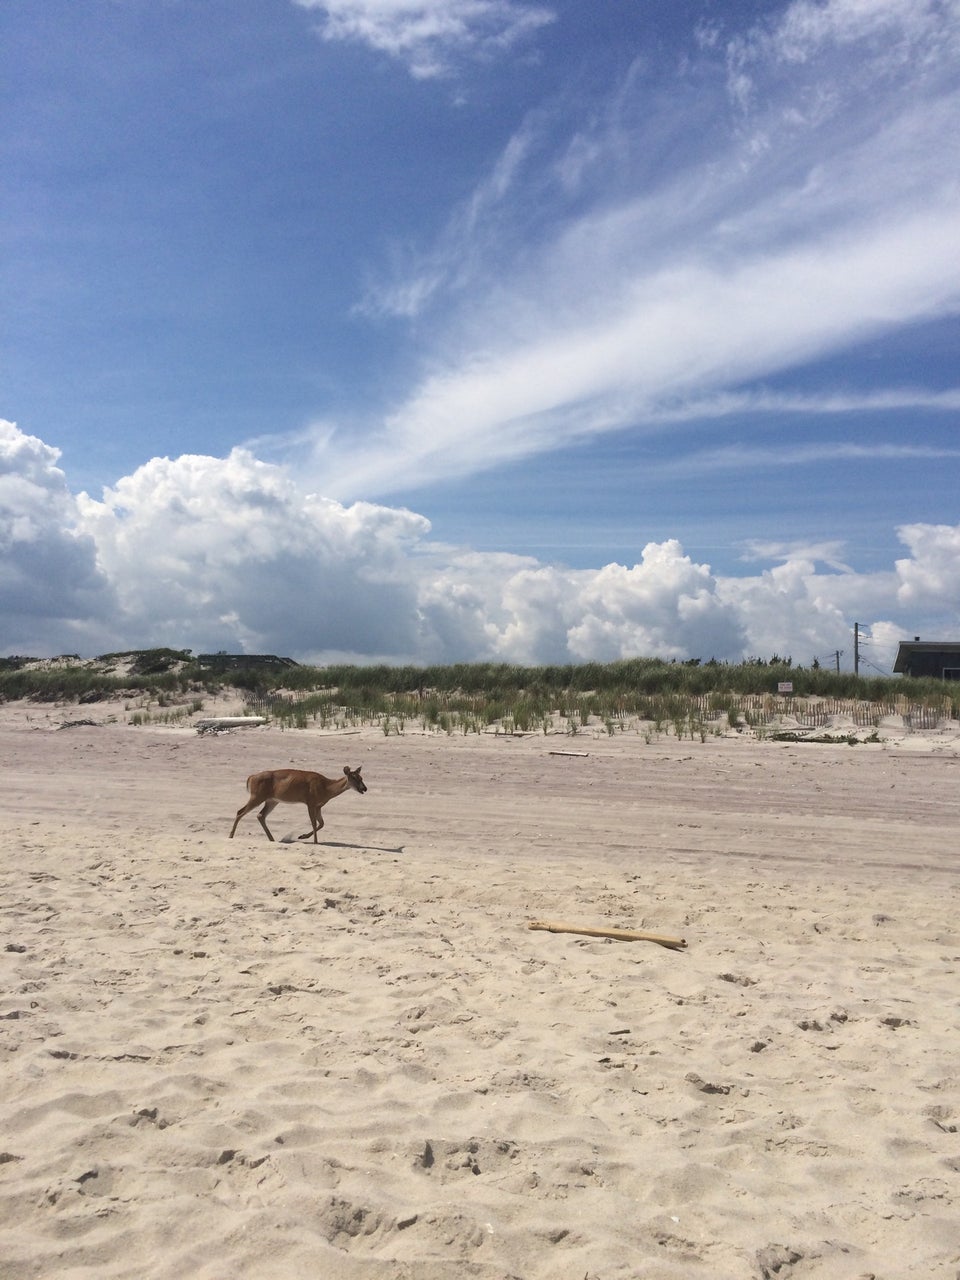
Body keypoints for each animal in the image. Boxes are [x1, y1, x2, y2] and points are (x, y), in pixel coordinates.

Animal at [229, 762, 368, 844]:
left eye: (361, 778)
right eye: (354, 778)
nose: (364, 788)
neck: (326, 788)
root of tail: (251, 777)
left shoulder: (318, 805)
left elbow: (321, 823)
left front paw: (303, 836)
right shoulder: (310, 801)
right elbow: (314, 822)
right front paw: (315, 842)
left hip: (272, 800)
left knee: (260, 815)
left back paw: (272, 839)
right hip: (257, 795)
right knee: (240, 811)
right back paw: (231, 836)